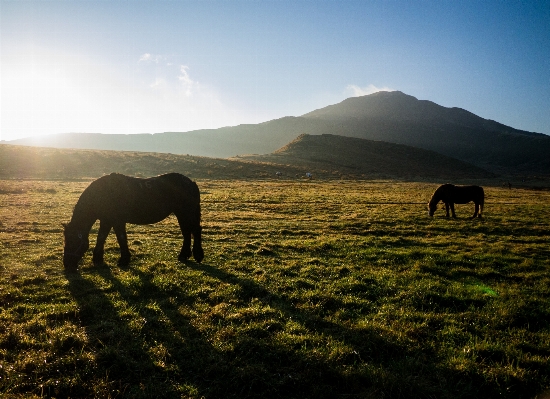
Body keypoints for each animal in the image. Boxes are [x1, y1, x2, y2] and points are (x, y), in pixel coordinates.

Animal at [63, 173, 205, 270]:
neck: (103, 194)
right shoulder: (106, 220)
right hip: (182, 214)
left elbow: (121, 238)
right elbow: (101, 237)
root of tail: (191, 182)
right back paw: (184, 255)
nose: (67, 265)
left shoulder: (117, 221)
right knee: (187, 233)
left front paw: (124, 260)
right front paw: (98, 259)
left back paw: (198, 255)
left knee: (195, 230)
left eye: (73, 241)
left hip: (186, 213)